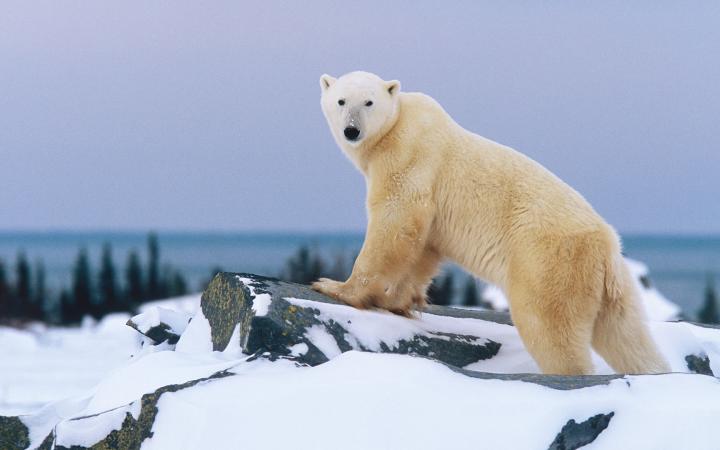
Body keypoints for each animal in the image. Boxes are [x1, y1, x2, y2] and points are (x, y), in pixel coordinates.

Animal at [312, 70, 672, 374]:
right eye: (341, 101)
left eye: (368, 102)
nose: (352, 130)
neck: (397, 125)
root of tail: (607, 244)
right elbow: (424, 247)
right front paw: (398, 301)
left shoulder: (410, 158)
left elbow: (396, 223)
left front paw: (337, 287)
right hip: (614, 284)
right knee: (627, 336)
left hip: (549, 262)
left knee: (548, 327)